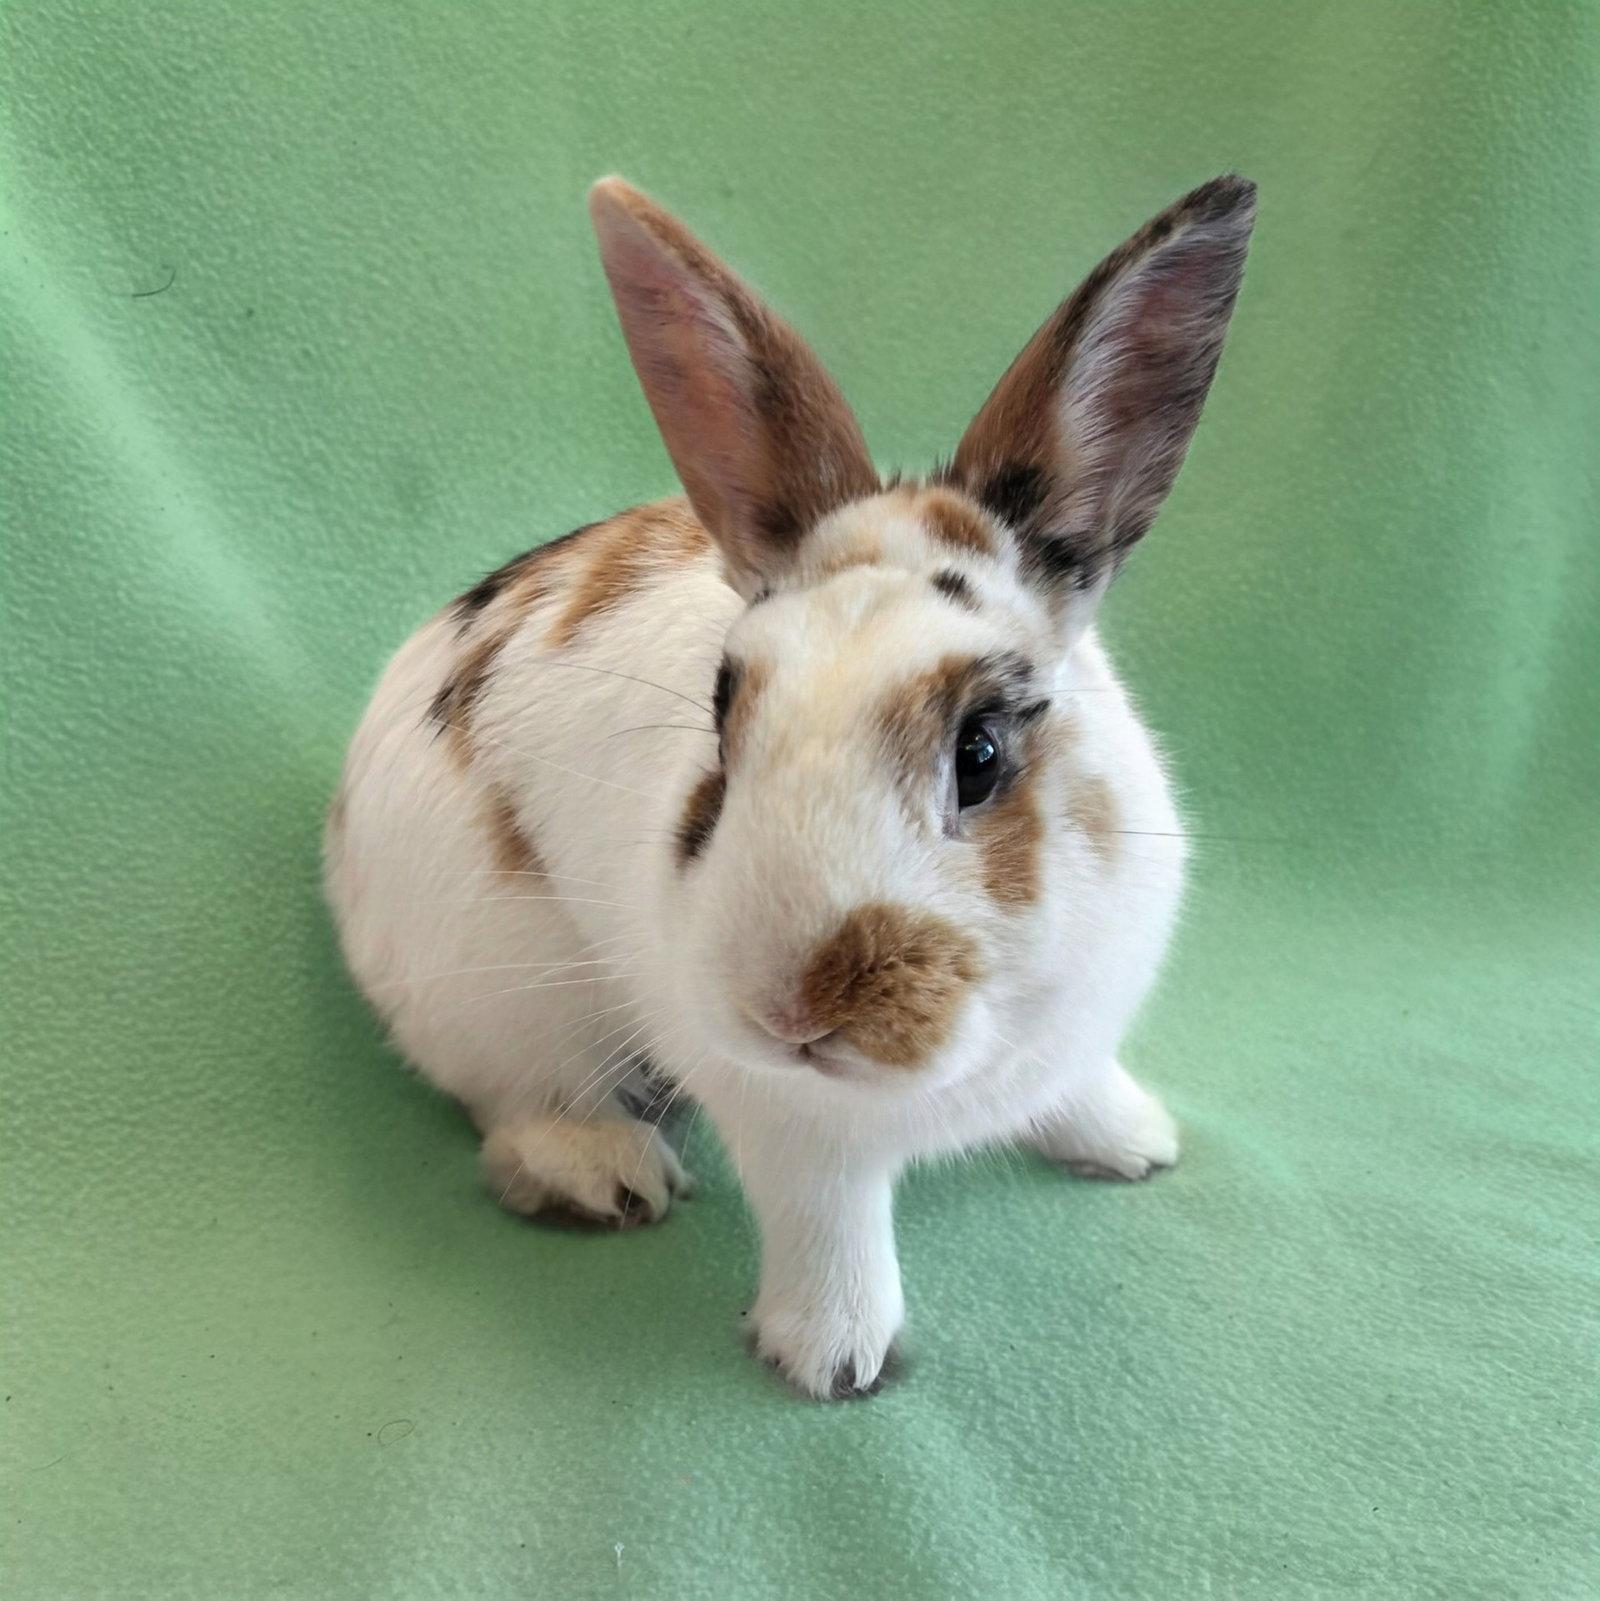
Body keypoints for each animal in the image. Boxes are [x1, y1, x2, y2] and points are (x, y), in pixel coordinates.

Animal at [325, 172, 1255, 1399]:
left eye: (981, 753)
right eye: (723, 726)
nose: (795, 1004)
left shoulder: (1075, 1035)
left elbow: (1080, 1086)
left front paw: (1135, 1144)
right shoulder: (795, 1132)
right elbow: (830, 1228)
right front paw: (834, 1356)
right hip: (493, 994)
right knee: (510, 1096)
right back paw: (605, 1171)